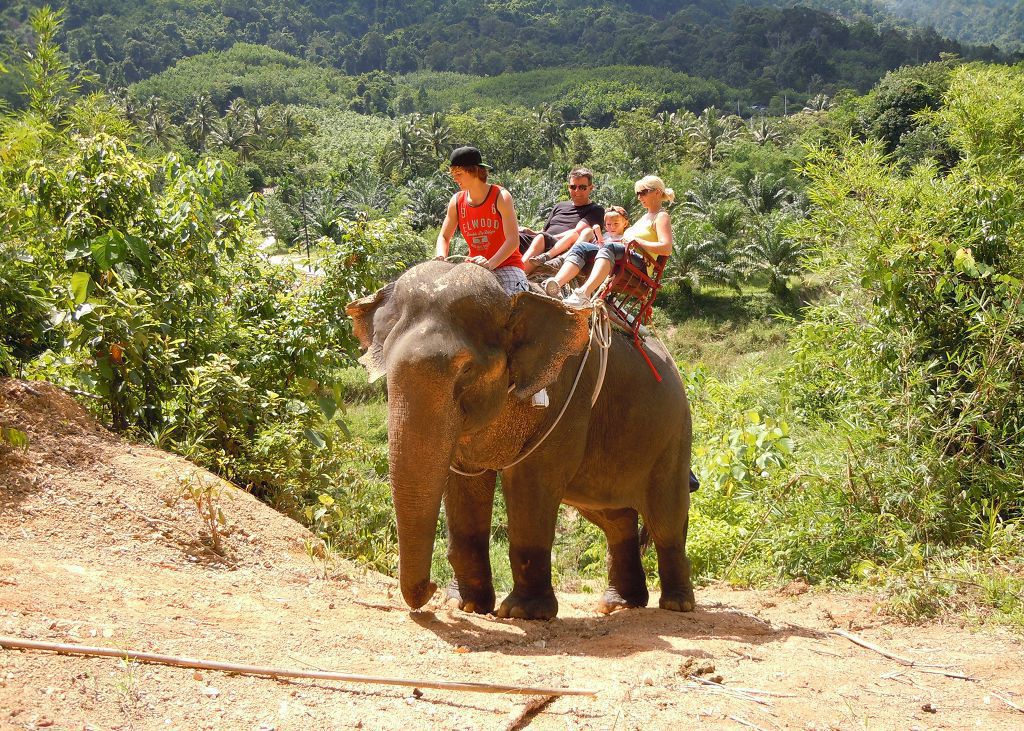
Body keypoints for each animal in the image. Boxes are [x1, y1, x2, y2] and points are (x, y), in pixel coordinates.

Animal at [346, 260, 694, 619]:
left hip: (674, 437)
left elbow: (532, 481)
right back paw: (619, 604)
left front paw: (522, 612)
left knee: (666, 519)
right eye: (386, 363)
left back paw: (676, 604)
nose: (430, 590)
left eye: (466, 371)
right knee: (614, 518)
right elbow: (464, 484)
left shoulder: (566, 394)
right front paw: (464, 604)